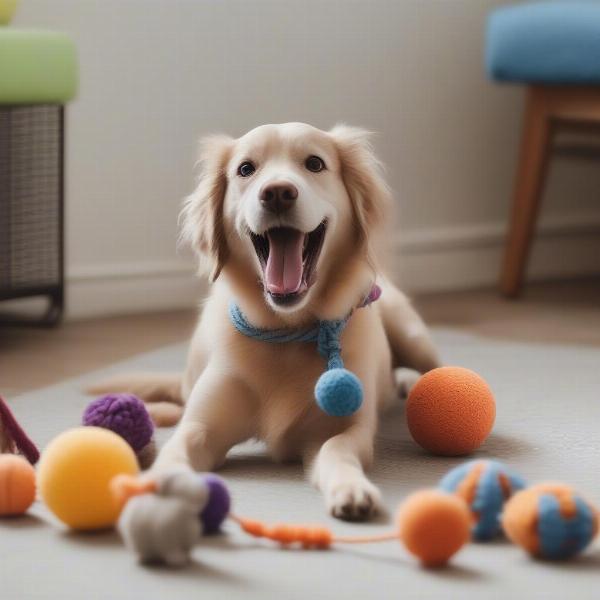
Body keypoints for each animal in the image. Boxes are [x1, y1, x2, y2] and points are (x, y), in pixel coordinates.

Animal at [89, 123, 438, 520]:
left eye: (315, 163)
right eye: (246, 169)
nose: (278, 193)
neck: (286, 331)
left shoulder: (347, 429)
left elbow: (337, 451)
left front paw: (352, 489)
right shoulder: (199, 426)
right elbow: (175, 452)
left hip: (411, 333)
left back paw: (413, 384)